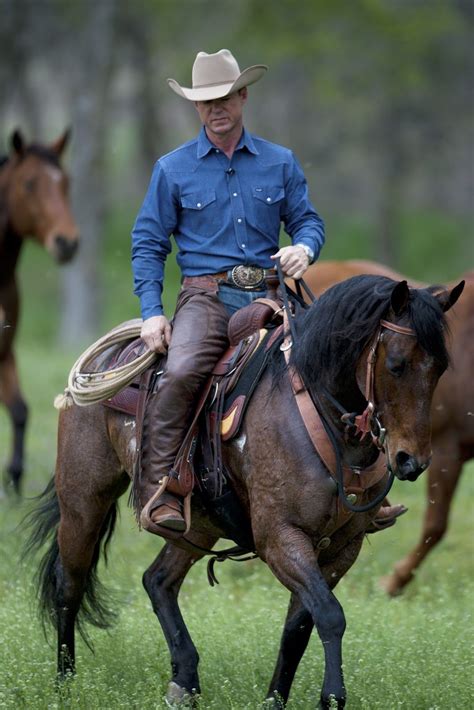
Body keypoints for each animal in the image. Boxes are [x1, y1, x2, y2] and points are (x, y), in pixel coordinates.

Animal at [302, 260, 473, 596]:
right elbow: (436, 525)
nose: (411, 462)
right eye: (395, 365)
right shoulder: (446, 450)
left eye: (441, 369)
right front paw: (394, 581)